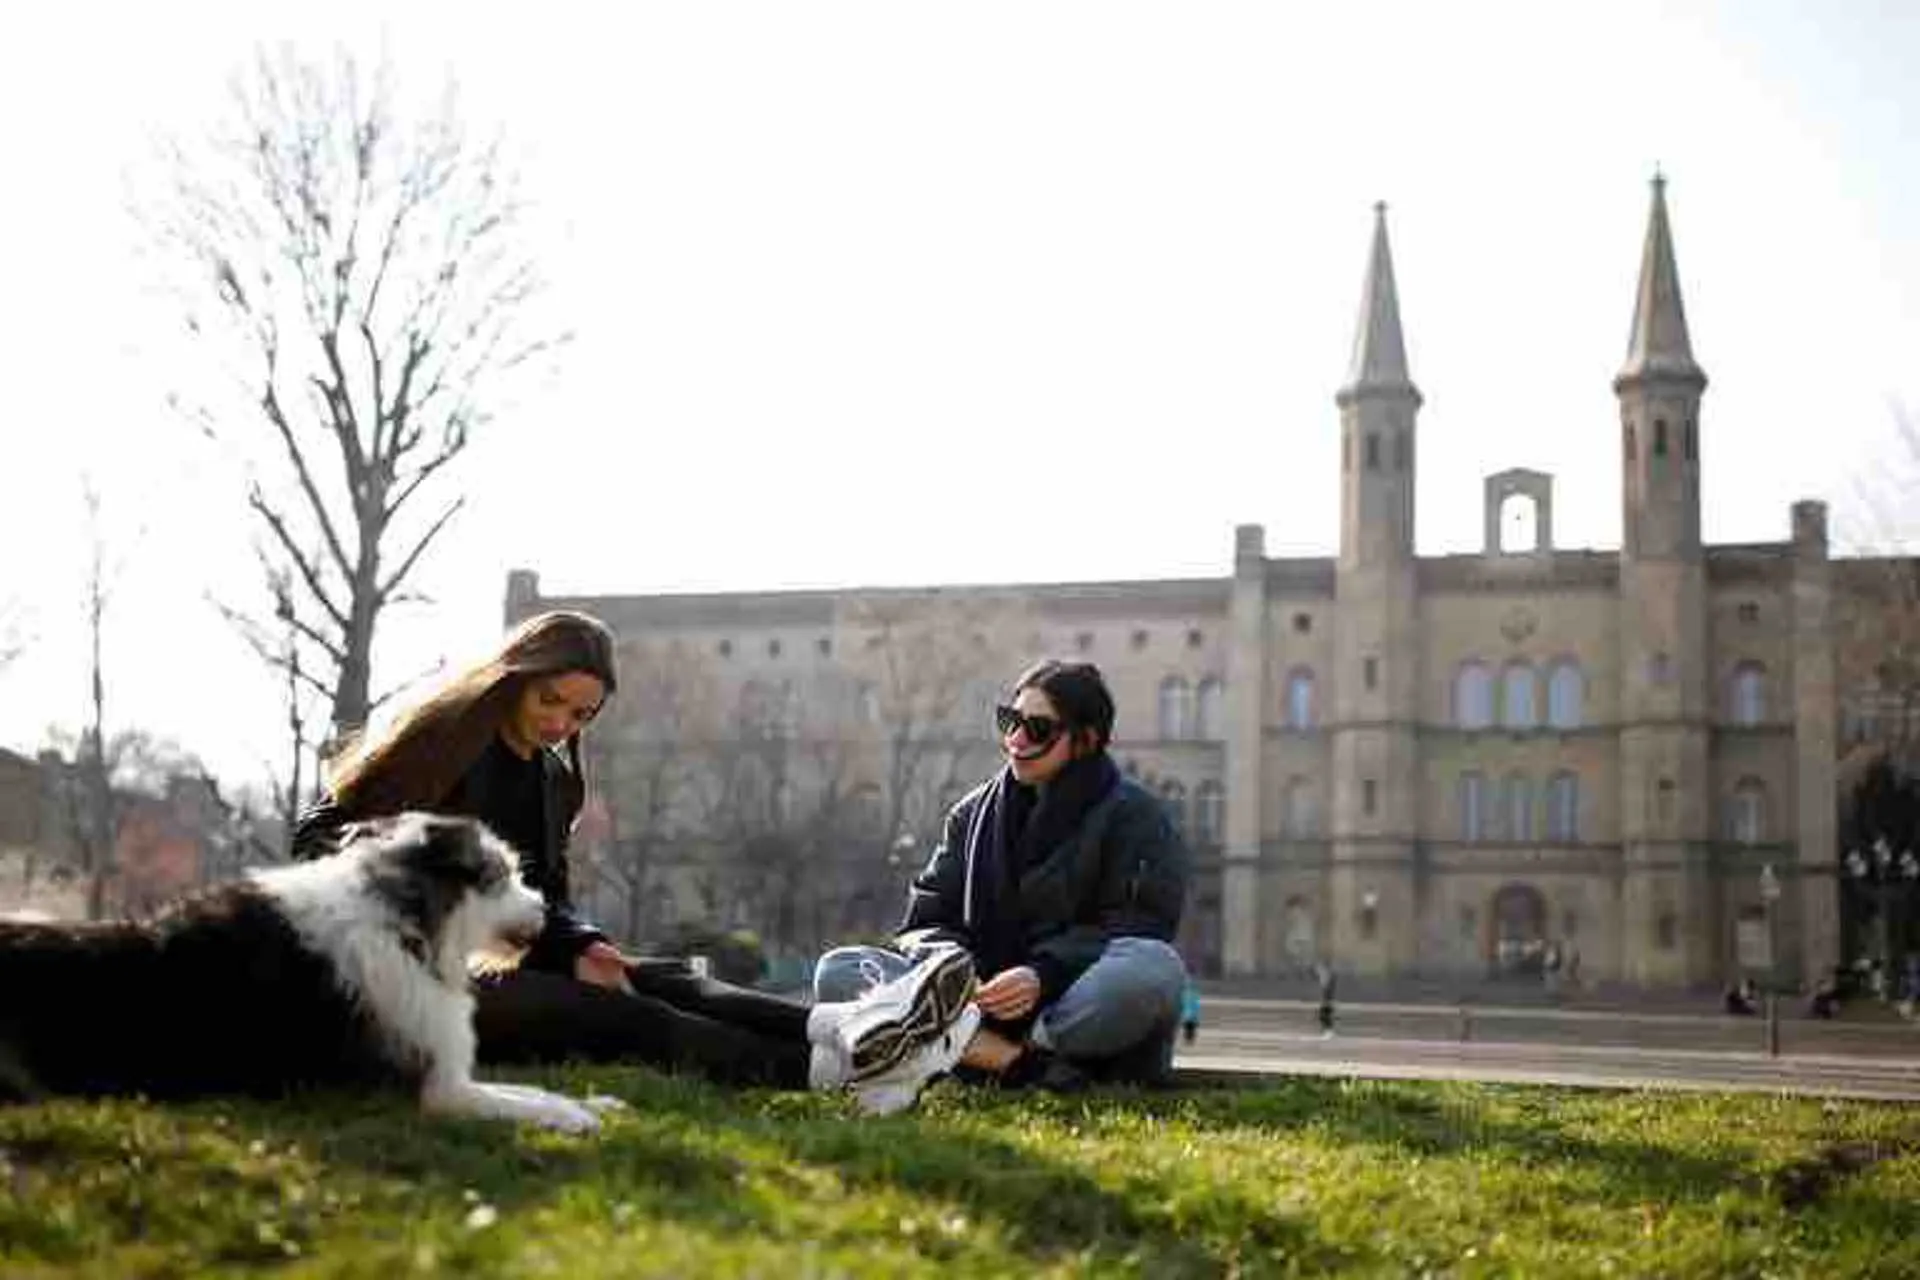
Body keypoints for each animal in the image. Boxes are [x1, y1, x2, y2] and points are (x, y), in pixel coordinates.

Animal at [0, 809, 618, 1128]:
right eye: (496, 876)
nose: (547, 911)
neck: (402, 920)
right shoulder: (436, 1092)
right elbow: (525, 1102)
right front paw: (580, 1116)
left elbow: (530, 1089)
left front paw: (600, 1102)